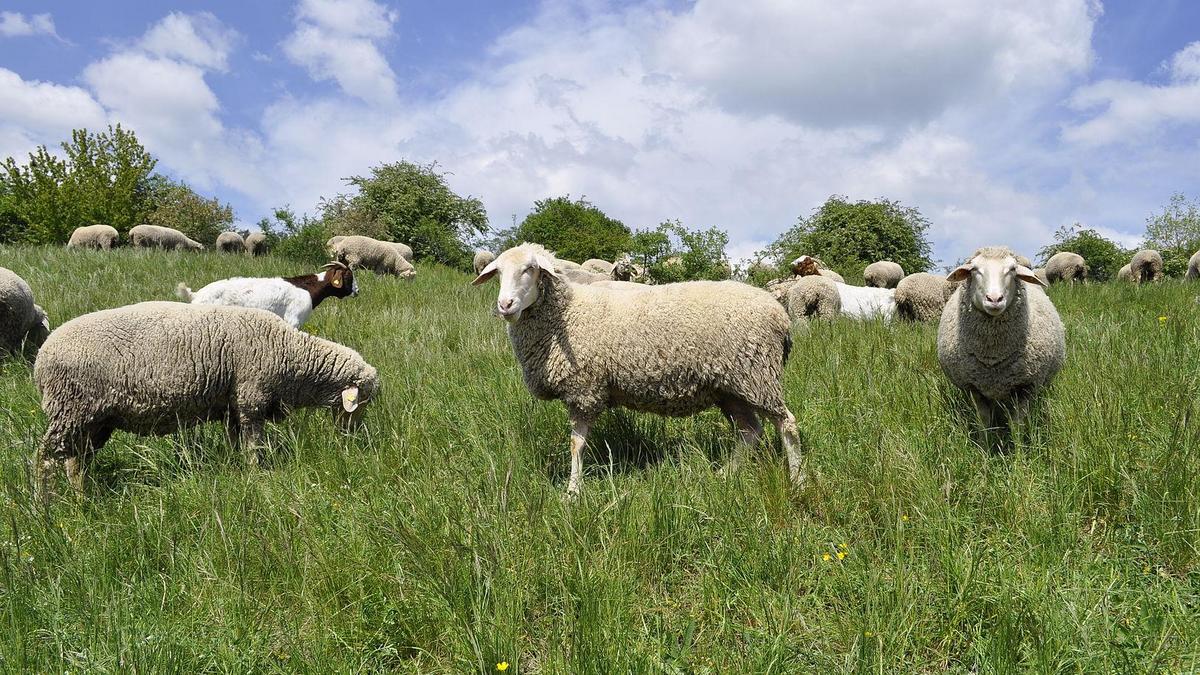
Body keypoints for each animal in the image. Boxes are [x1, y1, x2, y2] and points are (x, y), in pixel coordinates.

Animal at [33, 301, 379, 501]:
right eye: (361, 401)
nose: (352, 436)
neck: (291, 356)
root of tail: (41, 358)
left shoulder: (232, 406)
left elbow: (236, 442)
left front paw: (238, 469)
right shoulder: (251, 398)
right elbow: (253, 445)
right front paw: (256, 475)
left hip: (95, 420)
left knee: (76, 459)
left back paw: (83, 497)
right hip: (70, 408)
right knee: (45, 458)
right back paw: (48, 504)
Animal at [473, 243, 803, 495]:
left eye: (530, 269)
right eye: (498, 272)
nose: (505, 305)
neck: (566, 314)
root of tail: (780, 314)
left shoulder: (584, 389)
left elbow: (576, 445)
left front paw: (572, 492)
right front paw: (574, 489)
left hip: (757, 374)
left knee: (787, 424)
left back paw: (797, 481)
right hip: (731, 387)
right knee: (750, 432)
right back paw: (725, 474)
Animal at [937, 246, 1064, 439]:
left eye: (1012, 269)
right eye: (974, 269)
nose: (994, 299)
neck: (993, 356)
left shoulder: (1025, 387)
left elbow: (1017, 425)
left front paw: (1018, 447)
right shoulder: (974, 387)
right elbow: (984, 424)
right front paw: (985, 445)